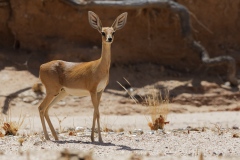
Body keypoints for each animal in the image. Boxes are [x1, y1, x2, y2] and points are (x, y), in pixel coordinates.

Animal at [37, 10, 127, 142]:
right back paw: (48, 138)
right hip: (52, 91)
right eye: (103, 32)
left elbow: (95, 112)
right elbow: (97, 113)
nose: (109, 39)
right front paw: (99, 139)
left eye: (113, 32)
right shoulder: (92, 91)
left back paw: (56, 137)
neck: (99, 66)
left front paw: (93, 138)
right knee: (41, 108)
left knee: (46, 109)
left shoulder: (100, 91)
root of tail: (41, 66)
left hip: (61, 93)